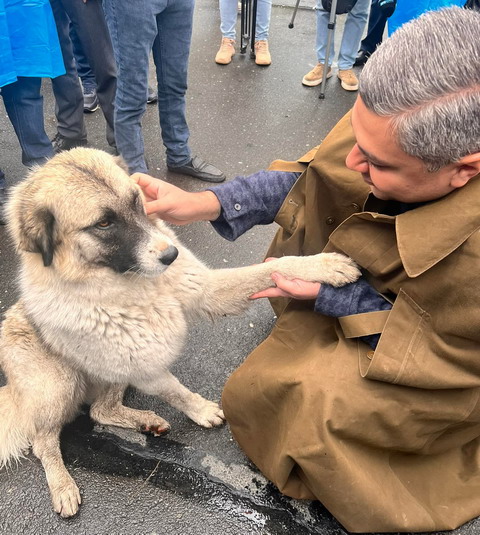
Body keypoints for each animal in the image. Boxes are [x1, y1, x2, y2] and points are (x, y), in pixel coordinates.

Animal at [0, 149, 360, 516]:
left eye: (137, 201)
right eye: (103, 223)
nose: (170, 255)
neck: (131, 285)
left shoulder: (206, 291)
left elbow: (275, 267)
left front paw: (322, 266)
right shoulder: (145, 366)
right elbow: (177, 392)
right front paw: (202, 411)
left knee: (101, 410)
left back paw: (145, 421)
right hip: (60, 383)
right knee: (43, 440)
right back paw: (62, 485)